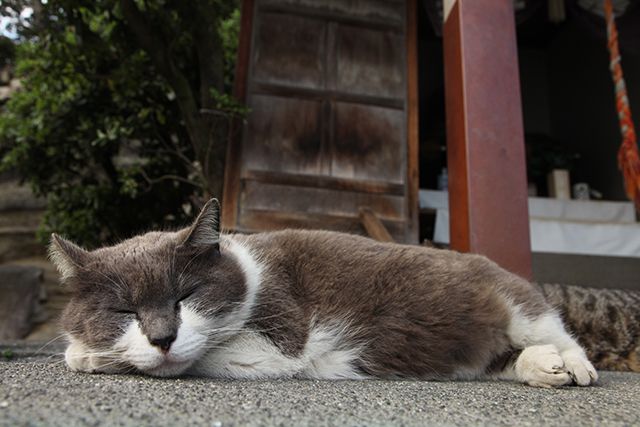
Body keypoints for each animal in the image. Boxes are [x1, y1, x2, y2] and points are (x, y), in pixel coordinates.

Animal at [51, 199, 600, 390]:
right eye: (125, 309)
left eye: (186, 295)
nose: (163, 337)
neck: (248, 272)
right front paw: (88, 351)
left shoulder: (277, 340)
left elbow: (203, 355)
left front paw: (87, 355)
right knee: (503, 359)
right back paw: (541, 367)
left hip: (519, 306)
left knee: (559, 333)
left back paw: (573, 365)